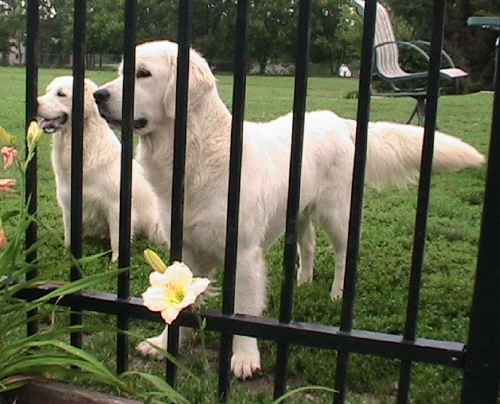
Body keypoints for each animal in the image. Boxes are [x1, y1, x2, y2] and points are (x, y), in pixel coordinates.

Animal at [37, 76, 166, 262]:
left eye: (61, 94)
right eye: (48, 91)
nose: (35, 102)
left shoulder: (115, 206)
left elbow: (116, 239)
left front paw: (115, 261)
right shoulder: (68, 203)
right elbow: (69, 235)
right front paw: (68, 255)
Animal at [94, 41, 484, 378]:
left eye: (143, 74)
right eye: (121, 72)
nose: (98, 95)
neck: (194, 154)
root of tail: (337, 120)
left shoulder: (244, 252)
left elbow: (244, 309)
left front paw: (245, 358)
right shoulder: (186, 247)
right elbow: (180, 304)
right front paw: (163, 343)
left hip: (337, 212)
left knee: (343, 254)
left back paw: (336, 292)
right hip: (300, 210)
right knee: (308, 245)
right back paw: (303, 279)